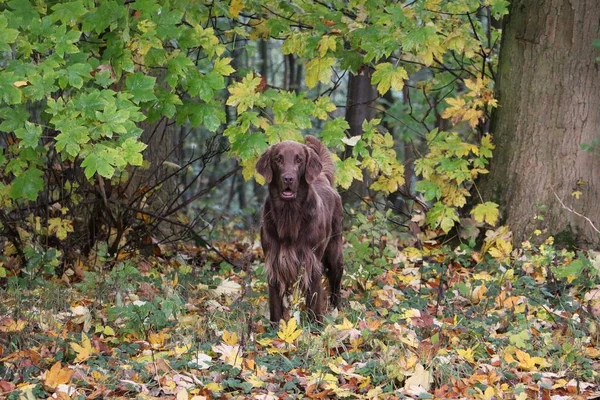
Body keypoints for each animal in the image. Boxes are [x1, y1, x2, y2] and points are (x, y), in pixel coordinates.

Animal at [256, 136, 344, 324]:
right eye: (278, 159)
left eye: (299, 160)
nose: (288, 178)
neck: (289, 214)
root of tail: (322, 178)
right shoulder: (274, 262)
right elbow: (275, 304)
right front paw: (275, 327)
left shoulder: (311, 261)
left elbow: (315, 299)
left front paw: (316, 325)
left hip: (335, 252)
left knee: (335, 286)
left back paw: (337, 311)